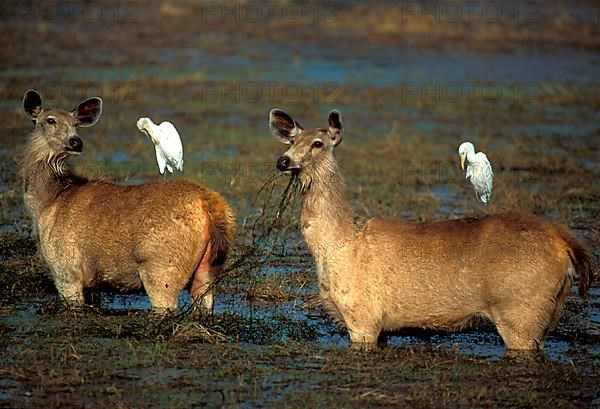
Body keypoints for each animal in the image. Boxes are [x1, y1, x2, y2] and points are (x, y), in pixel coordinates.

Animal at [19, 90, 234, 312]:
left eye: (75, 123)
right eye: (50, 120)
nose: (75, 141)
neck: (47, 201)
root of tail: (210, 204)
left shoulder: (65, 271)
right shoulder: (90, 285)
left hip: (161, 268)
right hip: (208, 269)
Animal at [272, 109, 596, 350]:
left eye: (318, 143)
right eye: (291, 140)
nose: (283, 160)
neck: (337, 245)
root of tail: (566, 242)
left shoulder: (363, 315)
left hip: (521, 308)